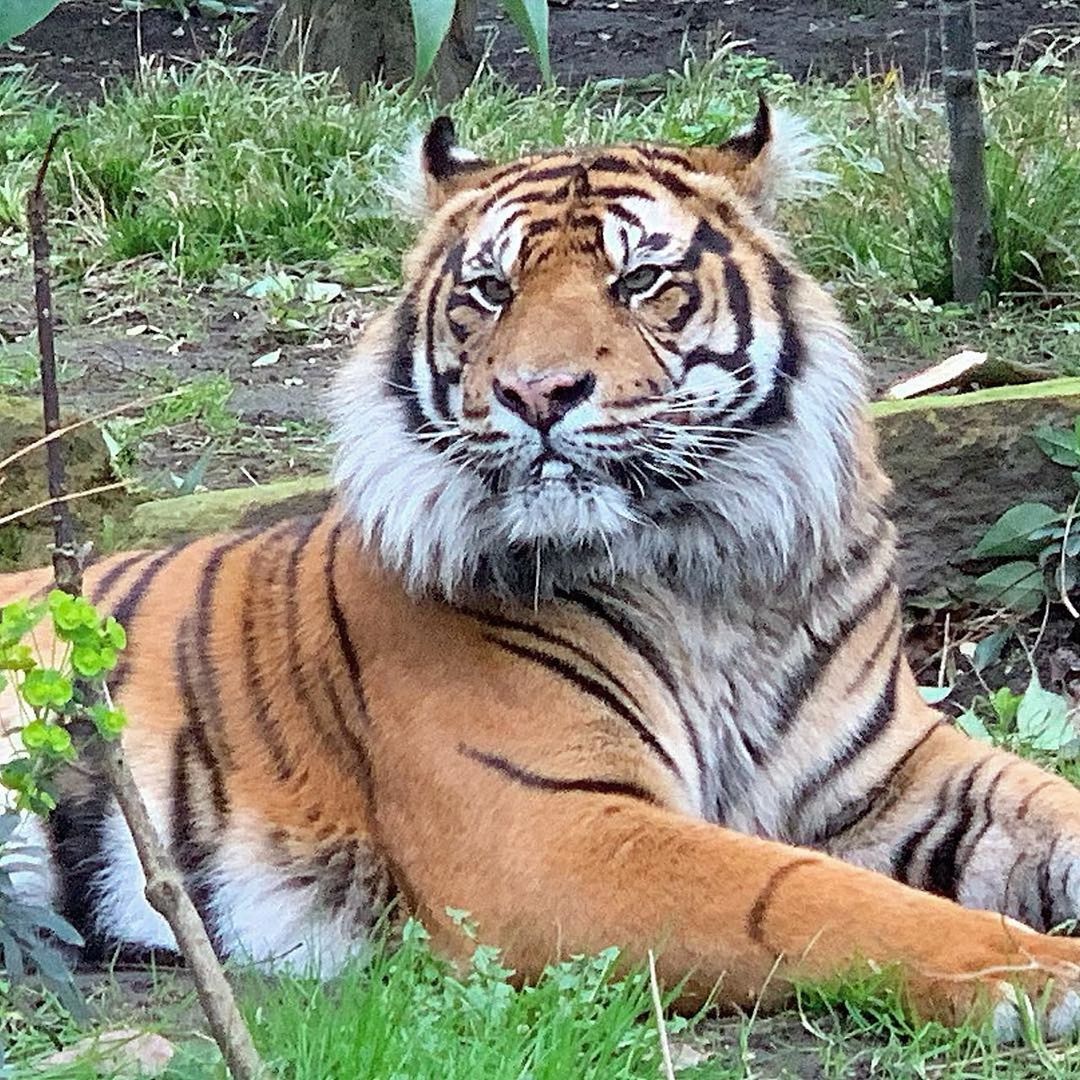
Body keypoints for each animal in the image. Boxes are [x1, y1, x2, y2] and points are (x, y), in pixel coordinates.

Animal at [4, 101, 1080, 1036]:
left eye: (639, 282)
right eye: (492, 291)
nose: (538, 393)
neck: (708, 573)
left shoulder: (895, 771)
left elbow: (1052, 809)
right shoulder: (545, 833)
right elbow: (813, 895)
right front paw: (1042, 973)